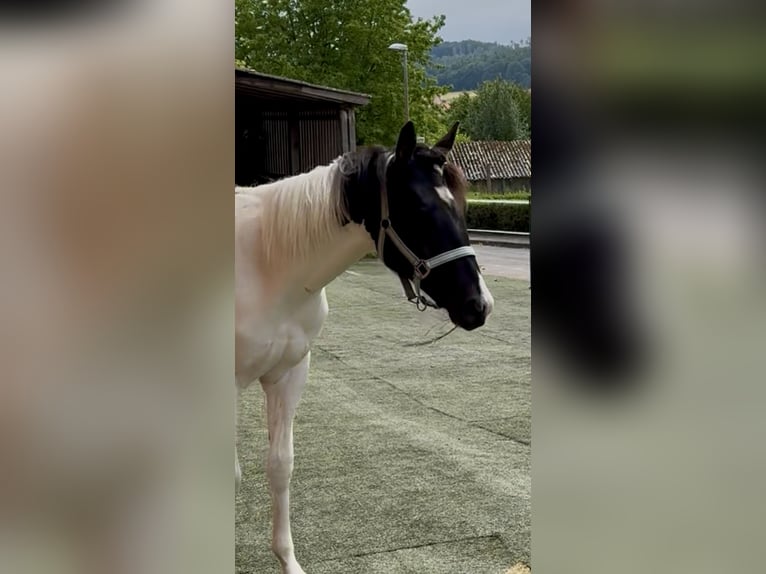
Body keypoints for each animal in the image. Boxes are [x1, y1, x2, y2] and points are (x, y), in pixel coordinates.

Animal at [235, 121, 494, 574]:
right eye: (419, 209)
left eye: (461, 208)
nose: (477, 305)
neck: (266, 266)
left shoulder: (288, 375)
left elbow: (280, 465)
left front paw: (289, 561)